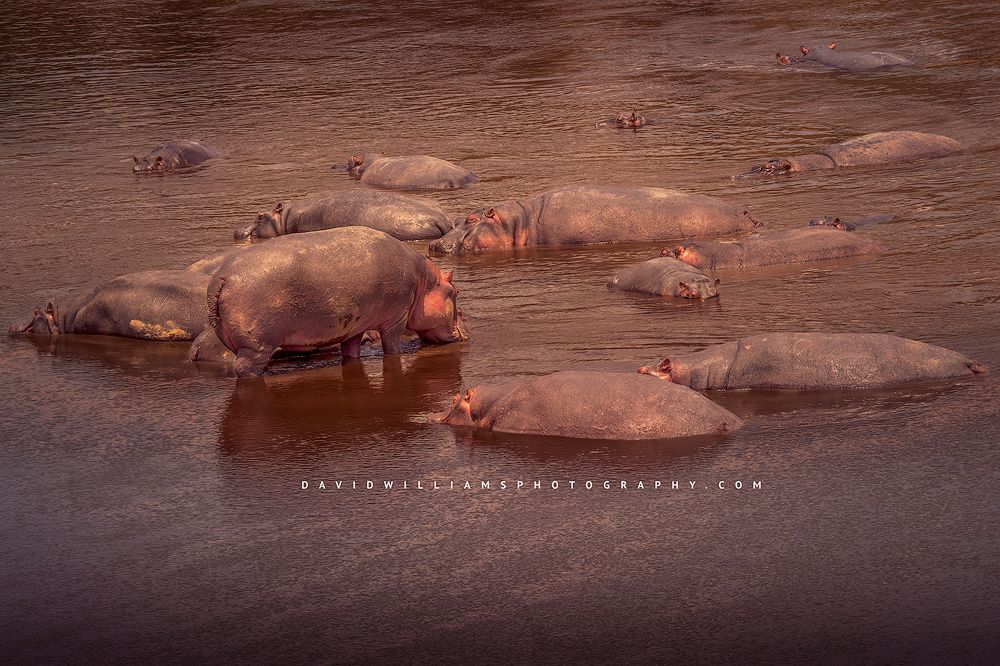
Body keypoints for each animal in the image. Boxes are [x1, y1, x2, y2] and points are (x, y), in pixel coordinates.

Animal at [206, 226, 469, 376]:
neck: (425, 281)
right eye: (456, 292)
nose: (467, 330)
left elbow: (351, 351)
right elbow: (392, 347)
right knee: (246, 369)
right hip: (255, 348)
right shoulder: (396, 318)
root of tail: (222, 277)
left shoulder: (355, 326)